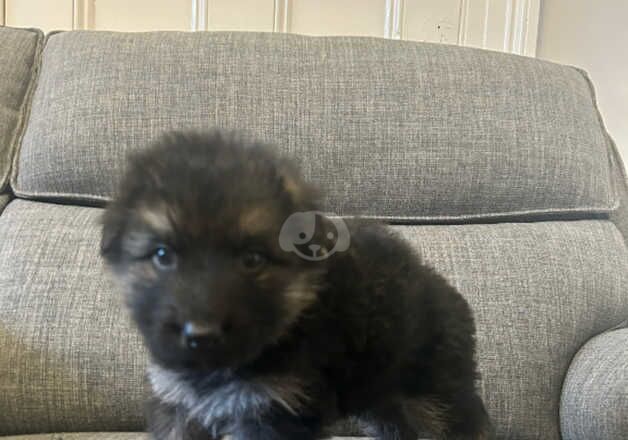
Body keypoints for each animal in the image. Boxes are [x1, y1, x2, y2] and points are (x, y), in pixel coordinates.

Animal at [99, 131, 490, 440]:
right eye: (162, 255)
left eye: (252, 259)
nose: (202, 334)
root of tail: (441, 284)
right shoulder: (178, 407)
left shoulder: (276, 411)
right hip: (385, 401)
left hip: (436, 397)